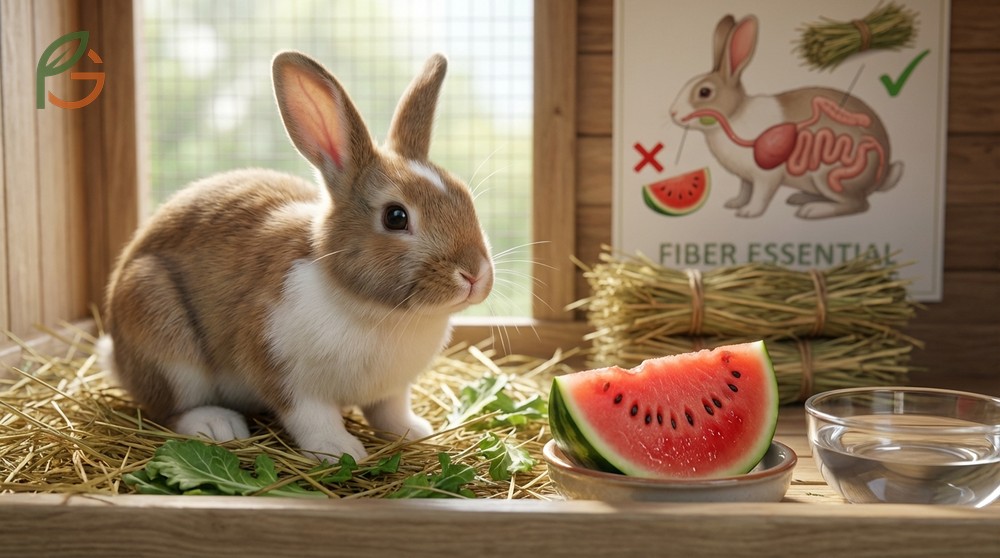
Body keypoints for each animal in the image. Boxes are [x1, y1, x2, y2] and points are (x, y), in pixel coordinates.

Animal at [97, 51, 494, 462]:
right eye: (396, 217)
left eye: (464, 195)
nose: (474, 274)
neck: (375, 311)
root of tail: (118, 356)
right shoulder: (285, 375)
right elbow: (312, 418)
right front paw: (340, 451)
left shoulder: (391, 390)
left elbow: (390, 412)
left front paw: (414, 432)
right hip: (164, 338)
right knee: (170, 409)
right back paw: (217, 425)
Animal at [669, 14, 903, 219]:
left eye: (704, 92)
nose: (673, 113)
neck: (735, 116)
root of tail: (880, 177)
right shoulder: (746, 178)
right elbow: (745, 190)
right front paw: (734, 203)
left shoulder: (766, 177)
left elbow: (760, 196)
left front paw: (748, 212)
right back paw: (800, 198)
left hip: (829, 176)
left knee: (858, 204)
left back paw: (812, 210)